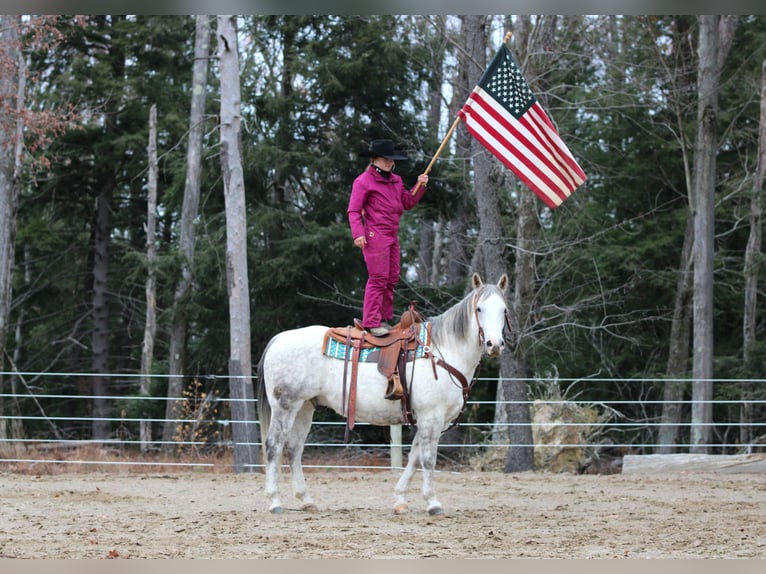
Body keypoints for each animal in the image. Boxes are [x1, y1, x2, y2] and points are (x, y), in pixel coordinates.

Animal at [256, 272, 509, 515]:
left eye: (504, 309)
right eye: (479, 309)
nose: (494, 344)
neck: (441, 351)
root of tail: (279, 338)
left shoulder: (431, 419)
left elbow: (414, 457)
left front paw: (400, 499)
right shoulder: (431, 417)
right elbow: (427, 459)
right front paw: (433, 503)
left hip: (305, 407)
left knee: (294, 449)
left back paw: (306, 500)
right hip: (285, 405)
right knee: (274, 446)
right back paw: (275, 501)